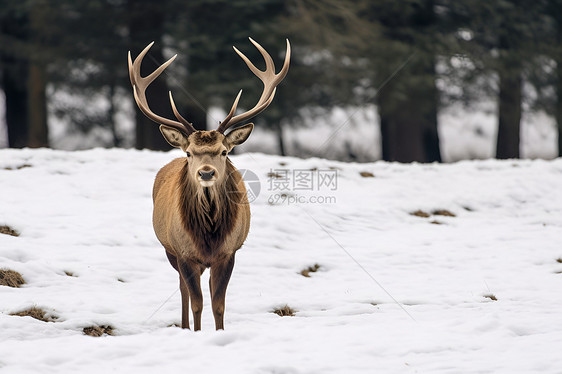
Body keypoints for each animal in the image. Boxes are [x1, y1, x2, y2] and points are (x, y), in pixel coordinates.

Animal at [129, 38, 290, 330]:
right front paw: (196, 332)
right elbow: (197, 302)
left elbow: (218, 303)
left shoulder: (229, 252)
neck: (209, 234)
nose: (205, 173)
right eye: (189, 153)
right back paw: (183, 326)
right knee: (182, 288)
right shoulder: (183, 252)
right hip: (169, 249)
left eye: (224, 152)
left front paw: (219, 332)